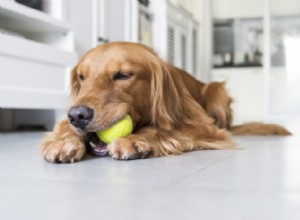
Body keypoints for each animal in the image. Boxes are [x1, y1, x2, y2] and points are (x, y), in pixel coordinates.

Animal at [41, 42, 292, 162]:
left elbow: (161, 129)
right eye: (81, 77)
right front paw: (63, 142)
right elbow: (62, 128)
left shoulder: (206, 126)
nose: (78, 115)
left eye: (123, 75)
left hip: (216, 90)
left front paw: (134, 140)